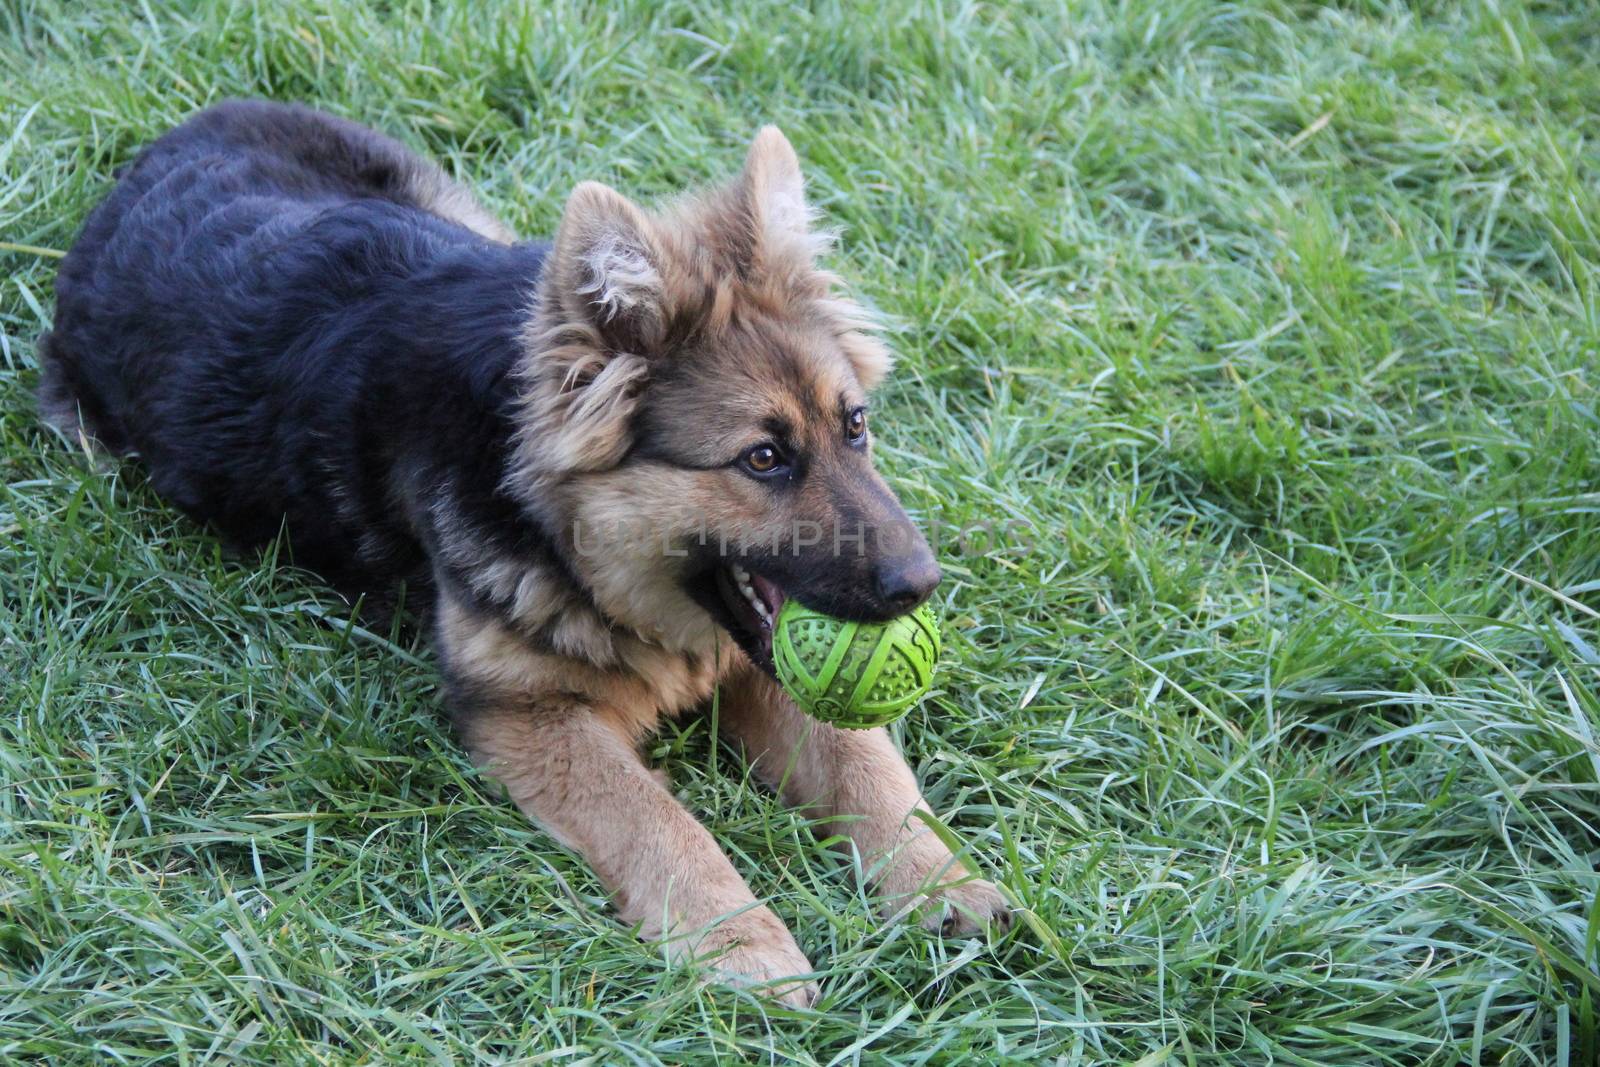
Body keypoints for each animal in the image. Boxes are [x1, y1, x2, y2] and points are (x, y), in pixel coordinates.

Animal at [40, 97, 1011, 1004]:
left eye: (856, 426)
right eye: (763, 459)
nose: (922, 585)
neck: (564, 528)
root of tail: (175, 138)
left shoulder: (752, 661)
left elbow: (865, 763)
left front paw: (942, 876)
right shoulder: (527, 711)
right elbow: (660, 819)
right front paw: (743, 942)